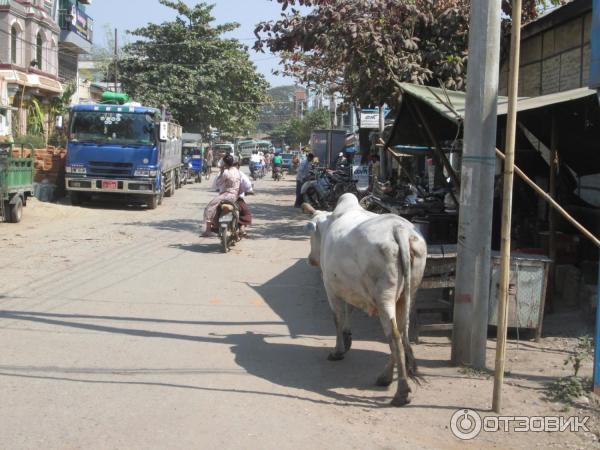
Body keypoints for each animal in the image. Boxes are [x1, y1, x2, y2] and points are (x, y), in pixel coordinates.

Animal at [304, 192, 426, 404]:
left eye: (312, 234)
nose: (311, 259)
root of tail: (399, 229)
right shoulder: (349, 287)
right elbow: (348, 312)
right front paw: (347, 340)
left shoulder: (331, 287)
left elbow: (337, 318)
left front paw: (338, 351)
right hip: (408, 294)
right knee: (402, 333)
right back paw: (385, 377)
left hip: (384, 297)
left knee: (394, 336)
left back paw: (401, 392)